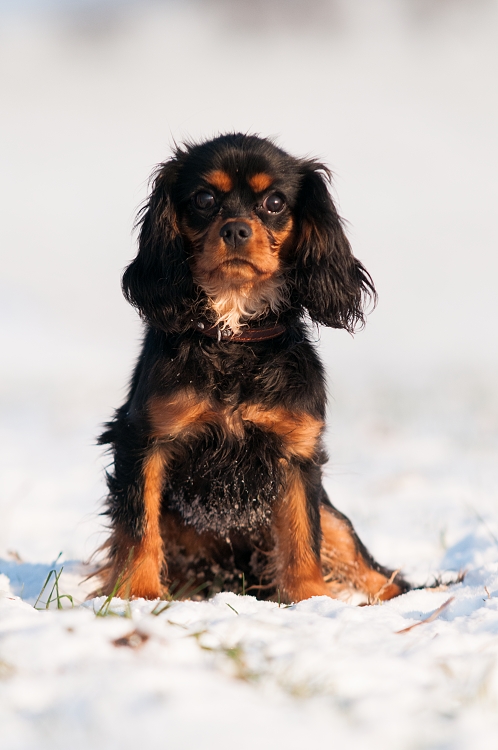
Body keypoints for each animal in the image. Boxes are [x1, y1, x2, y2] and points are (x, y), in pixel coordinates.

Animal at [97, 134, 408, 604]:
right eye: (205, 199)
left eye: (275, 202)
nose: (236, 229)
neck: (235, 332)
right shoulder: (143, 439)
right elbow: (138, 526)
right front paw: (141, 595)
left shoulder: (296, 453)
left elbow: (301, 536)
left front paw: (309, 599)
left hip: (335, 518)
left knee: (372, 568)